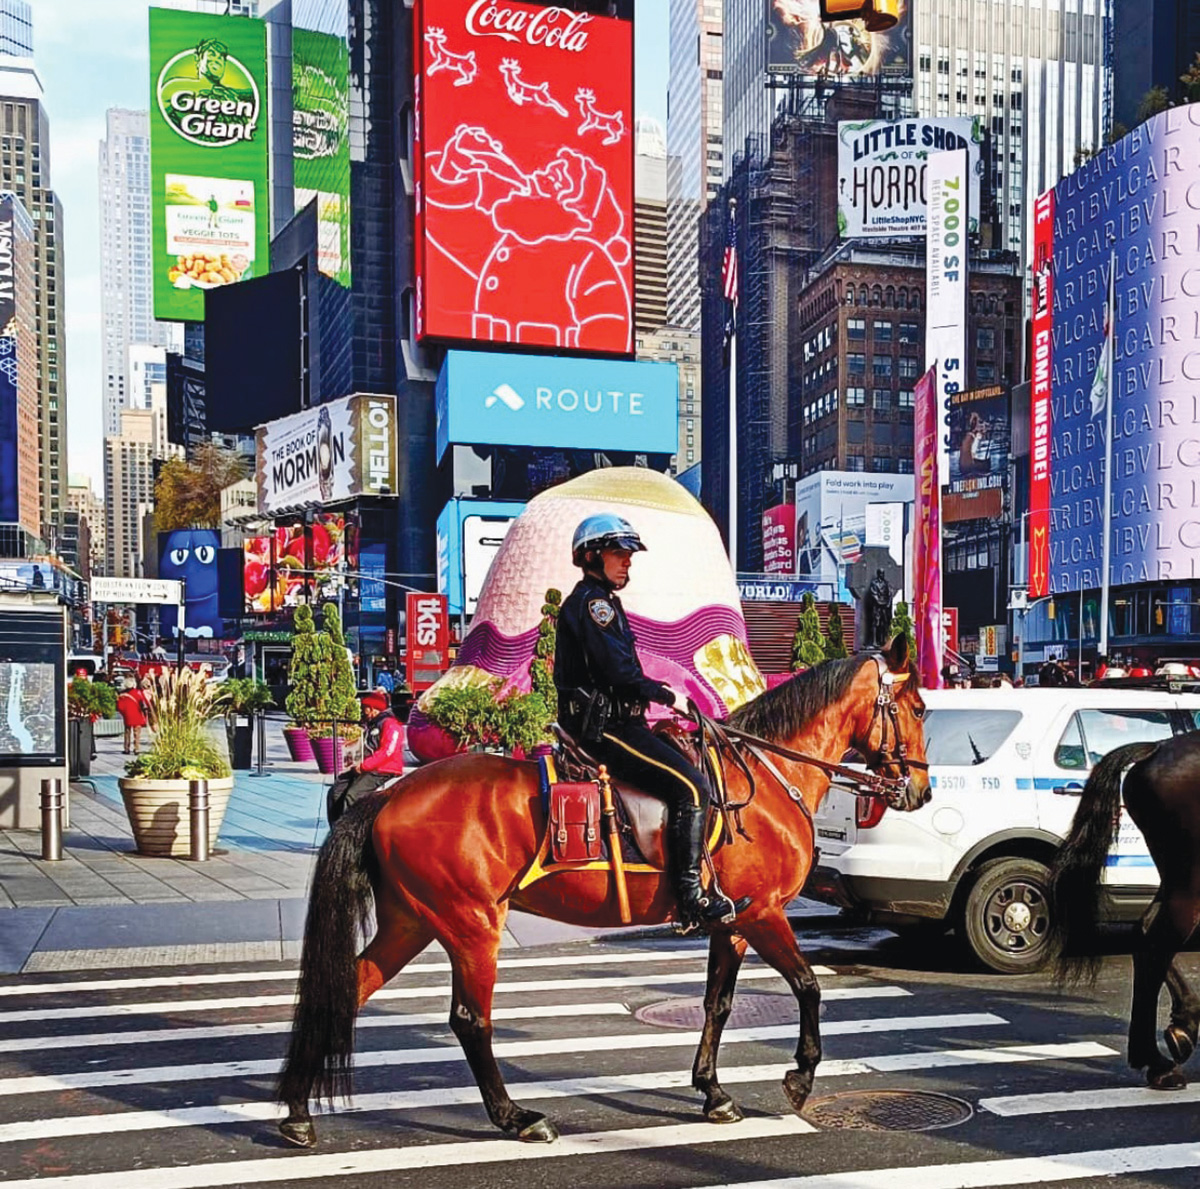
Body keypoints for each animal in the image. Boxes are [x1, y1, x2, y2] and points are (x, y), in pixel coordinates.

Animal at [278, 638, 926, 1147]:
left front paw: (713, 1092)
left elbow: (718, 1004)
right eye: (918, 707)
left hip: (411, 922)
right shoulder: (764, 915)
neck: (766, 777)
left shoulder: (732, 923)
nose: (919, 790)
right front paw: (799, 1078)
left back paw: (298, 1110)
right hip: (471, 925)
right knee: (470, 1019)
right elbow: (810, 987)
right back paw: (515, 1117)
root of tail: (389, 793)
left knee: (348, 989)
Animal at [1046, 739, 1200, 1094]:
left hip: (1173, 876)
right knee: (1156, 942)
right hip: (1189, 881)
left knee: (1144, 933)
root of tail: (1158, 747)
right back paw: (1159, 1062)